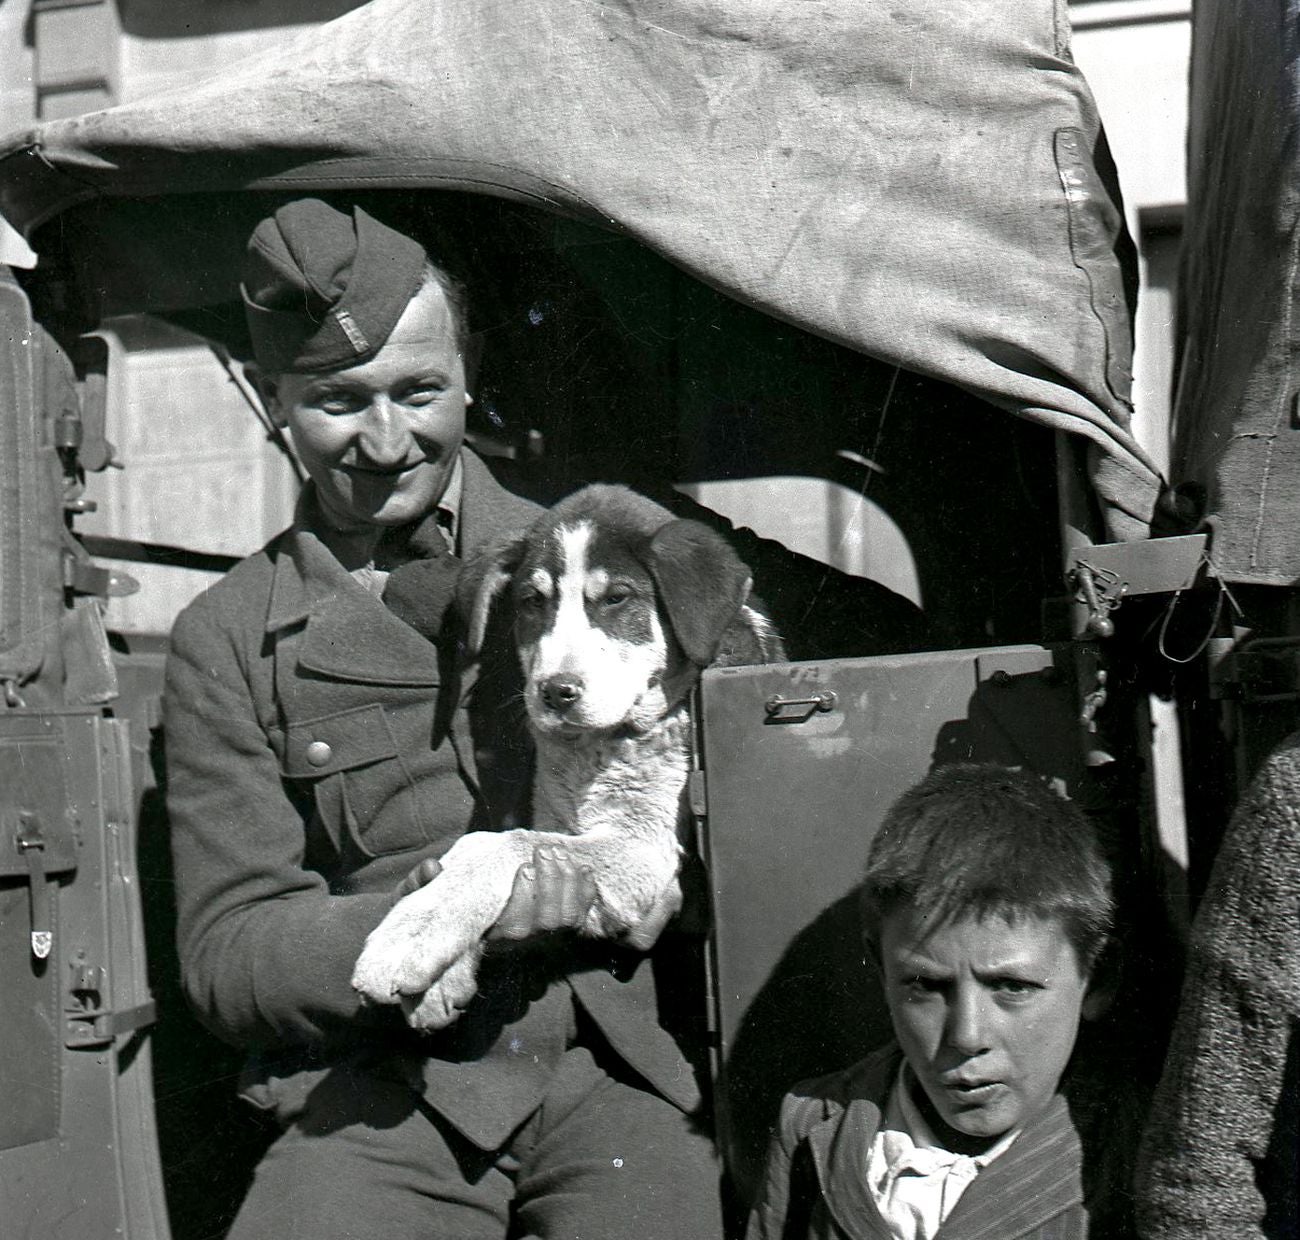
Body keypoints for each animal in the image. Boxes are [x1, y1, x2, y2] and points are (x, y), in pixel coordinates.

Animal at [345, 483, 785, 1024]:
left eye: (617, 598)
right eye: (533, 602)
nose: (556, 693)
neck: (600, 748)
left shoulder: (652, 850)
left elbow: (500, 844)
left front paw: (410, 935)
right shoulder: (557, 817)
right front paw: (440, 975)